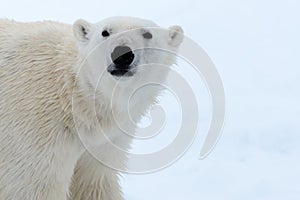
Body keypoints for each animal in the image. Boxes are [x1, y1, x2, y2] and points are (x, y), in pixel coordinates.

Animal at [0, 17, 183, 200]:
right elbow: (31, 187)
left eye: (148, 34)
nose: (122, 54)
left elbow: (94, 183)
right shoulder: (37, 132)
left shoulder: (105, 140)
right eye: (105, 32)